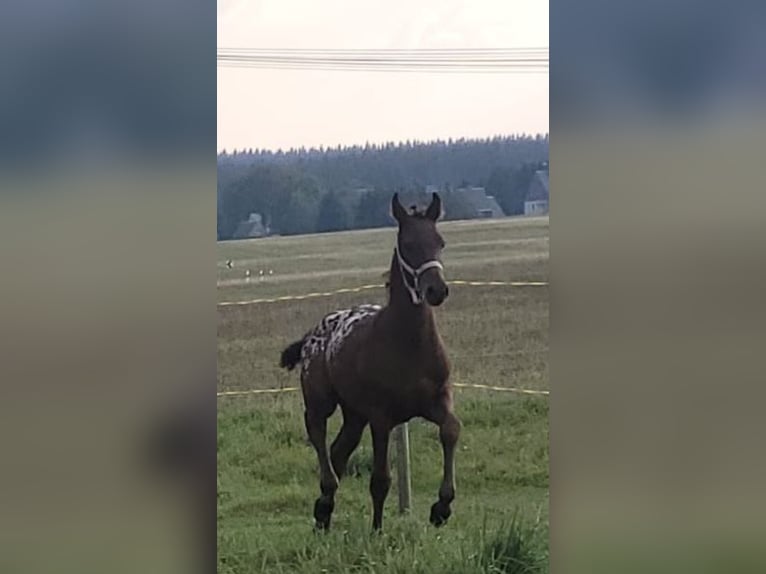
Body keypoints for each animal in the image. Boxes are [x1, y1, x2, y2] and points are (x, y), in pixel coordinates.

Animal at [282, 191, 462, 532]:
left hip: (355, 414)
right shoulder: (381, 417)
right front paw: (377, 530)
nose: (437, 290)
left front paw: (441, 508)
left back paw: (324, 513)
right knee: (318, 435)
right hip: (322, 401)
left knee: (339, 450)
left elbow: (450, 430)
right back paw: (326, 498)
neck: (409, 346)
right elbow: (380, 478)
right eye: (408, 244)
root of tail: (313, 333)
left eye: (441, 242)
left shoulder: (436, 401)